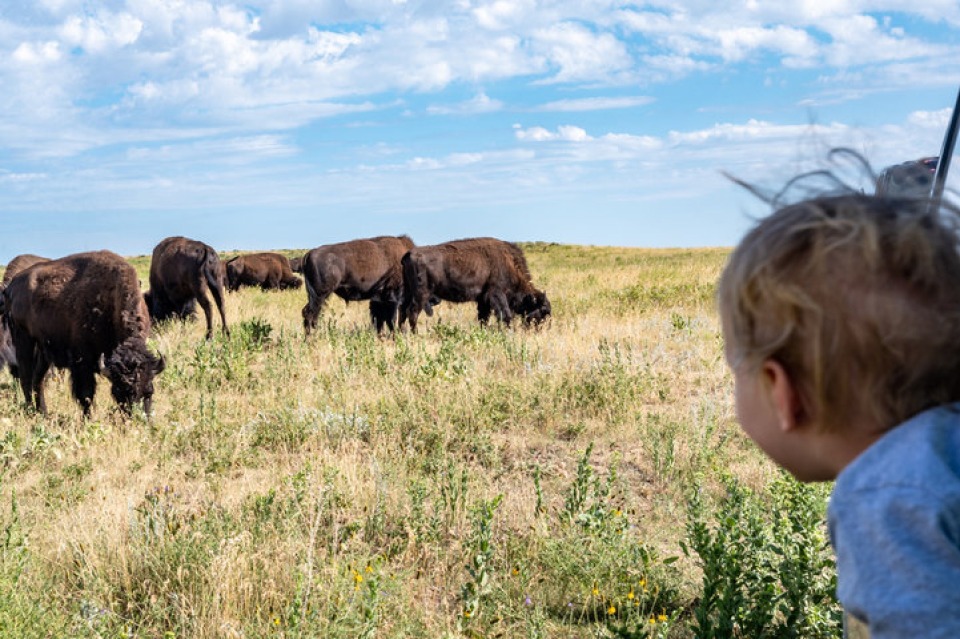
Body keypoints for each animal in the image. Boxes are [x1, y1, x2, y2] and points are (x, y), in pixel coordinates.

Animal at [0, 250, 165, 416]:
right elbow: (86, 395)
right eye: (120, 391)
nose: (139, 418)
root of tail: (11, 287)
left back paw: (44, 413)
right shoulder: (82, 361)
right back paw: (30, 411)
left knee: (37, 380)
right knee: (26, 378)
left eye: (149, 392)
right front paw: (88, 419)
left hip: (43, 351)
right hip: (23, 340)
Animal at [400, 237, 551, 333]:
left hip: (408, 292)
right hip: (421, 294)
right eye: (542, 311)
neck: (508, 263)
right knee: (412, 312)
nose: (538, 331)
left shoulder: (483, 300)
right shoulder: (497, 295)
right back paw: (415, 334)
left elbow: (483, 318)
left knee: (402, 311)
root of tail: (409, 254)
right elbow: (505, 315)